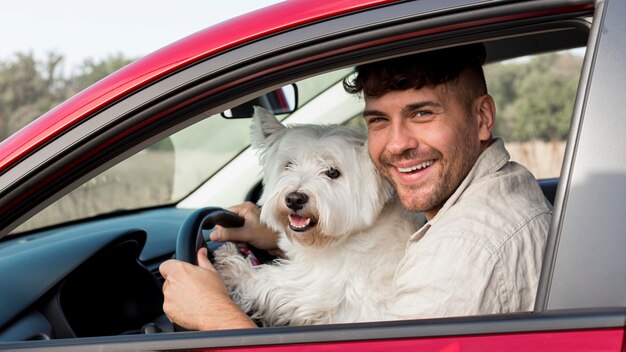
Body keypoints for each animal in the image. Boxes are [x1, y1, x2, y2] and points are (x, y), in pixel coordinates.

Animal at [214, 106, 420, 326]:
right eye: (289, 165)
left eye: (332, 172)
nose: (294, 199)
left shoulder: (314, 287)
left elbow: (271, 282)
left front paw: (229, 264)